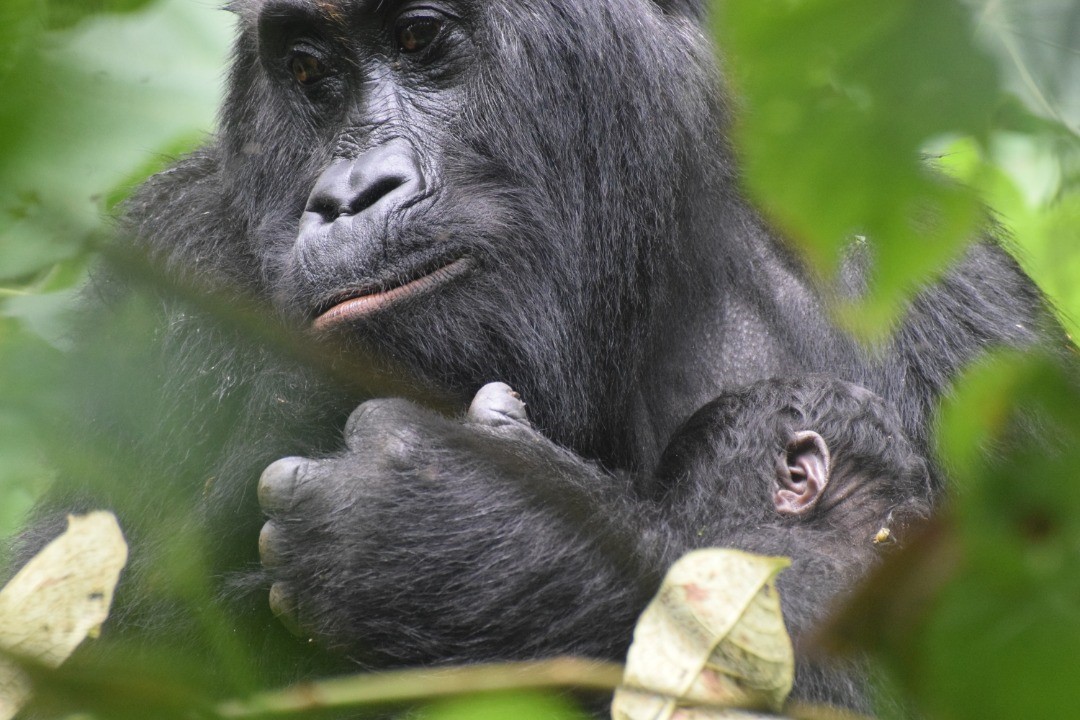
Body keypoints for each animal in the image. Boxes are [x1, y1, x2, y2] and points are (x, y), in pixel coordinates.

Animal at [16, 0, 1058, 712]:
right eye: (311, 72)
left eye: (420, 38)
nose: (351, 193)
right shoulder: (167, 267)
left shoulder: (960, 314)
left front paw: (472, 536)